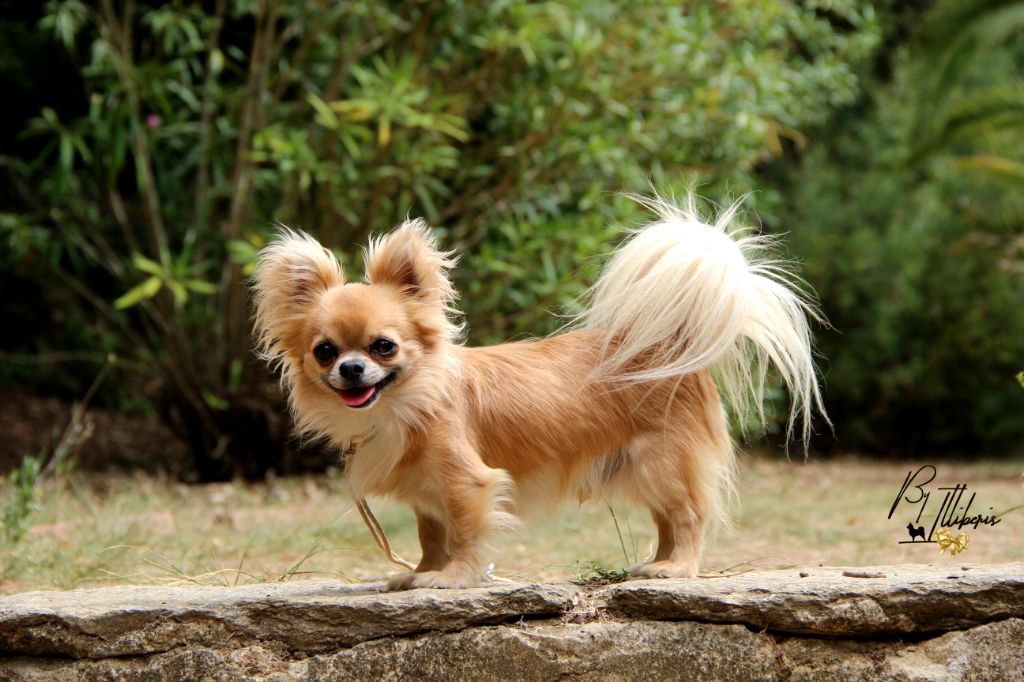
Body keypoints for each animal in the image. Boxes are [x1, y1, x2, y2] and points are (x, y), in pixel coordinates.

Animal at [252, 195, 825, 590]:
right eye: (325, 351)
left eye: (384, 347)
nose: (351, 369)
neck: (405, 406)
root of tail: (671, 344)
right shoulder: (428, 499)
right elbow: (431, 536)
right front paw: (418, 572)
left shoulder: (466, 484)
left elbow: (463, 534)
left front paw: (450, 578)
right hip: (644, 471)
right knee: (668, 519)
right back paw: (655, 564)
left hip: (662, 464)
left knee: (687, 518)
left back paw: (676, 568)